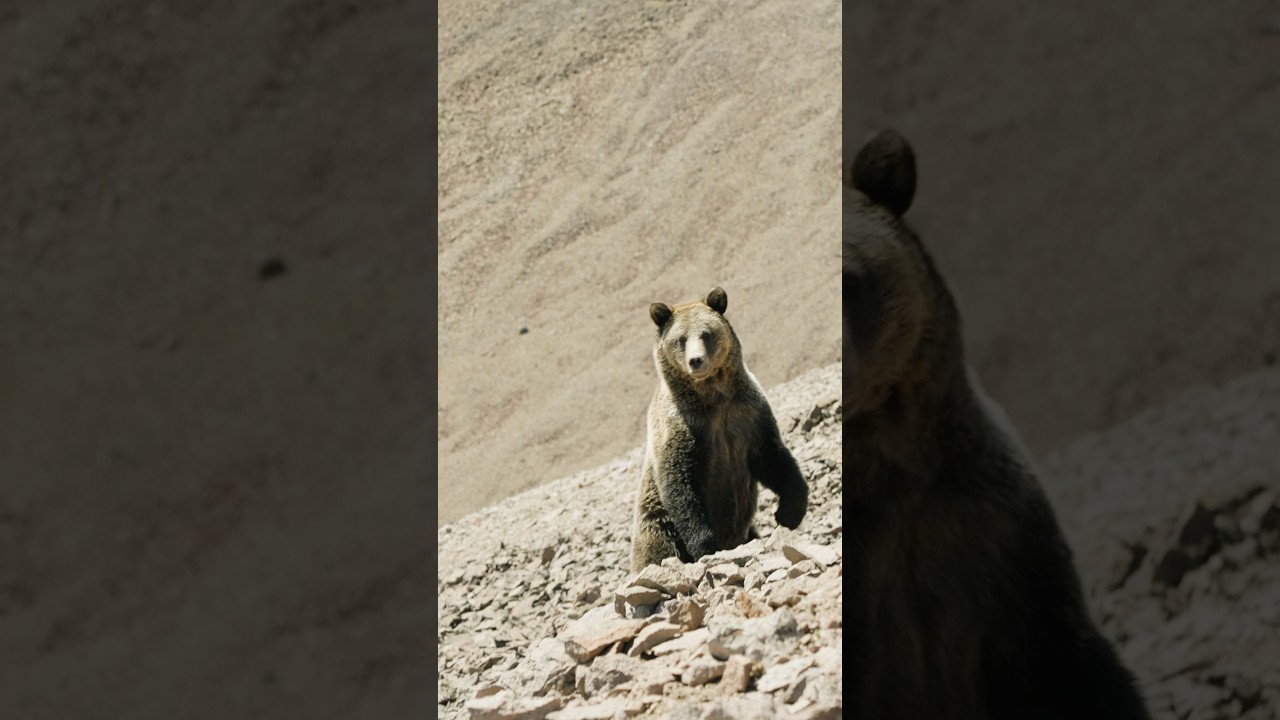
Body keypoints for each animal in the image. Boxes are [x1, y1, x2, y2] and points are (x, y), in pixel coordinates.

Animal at [630, 287, 809, 572]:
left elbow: (773, 457)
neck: (714, 399)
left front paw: (789, 512)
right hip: (658, 528)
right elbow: (680, 484)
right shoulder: (681, 427)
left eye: (706, 333)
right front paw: (706, 545)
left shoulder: (748, 415)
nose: (696, 361)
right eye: (680, 339)